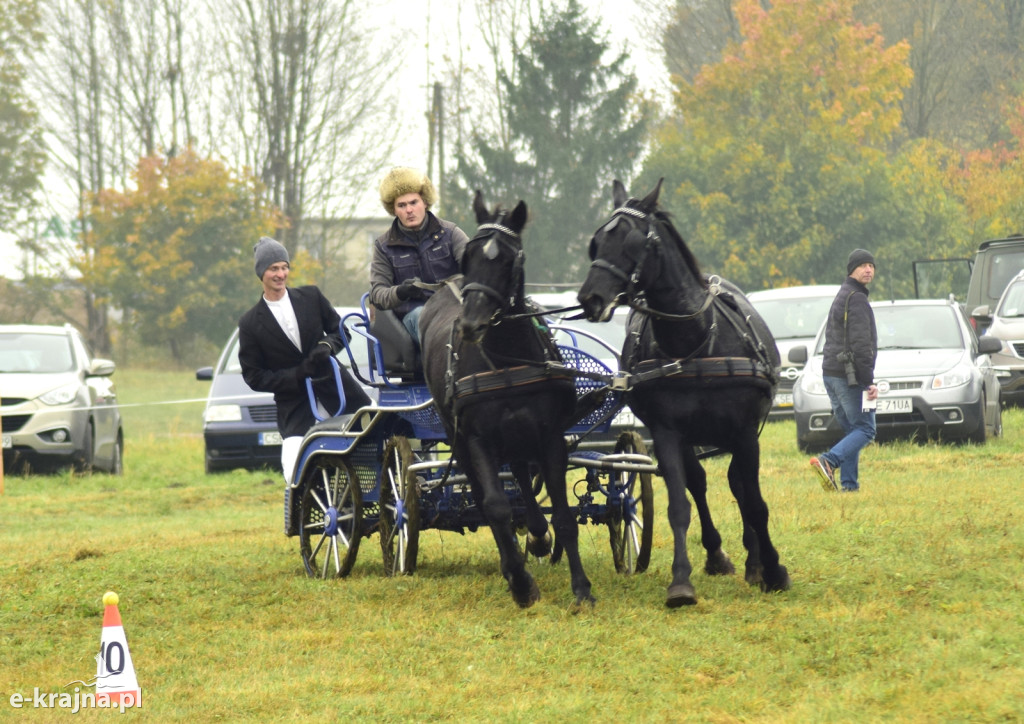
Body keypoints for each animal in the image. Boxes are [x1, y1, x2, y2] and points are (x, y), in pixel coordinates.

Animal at [415, 191, 593, 606]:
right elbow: (495, 507)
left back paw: (538, 537)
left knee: (524, 482)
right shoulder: (477, 438)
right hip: (459, 439)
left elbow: (563, 515)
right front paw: (520, 582)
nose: (470, 325)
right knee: (486, 496)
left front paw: (581, 588)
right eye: (468, 259)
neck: (508, 358)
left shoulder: (549, 436)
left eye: (509, 260)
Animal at [577, 180, 790, 606]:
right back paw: (717, 555)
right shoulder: (668, 433)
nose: (590, 298)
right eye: (596, 242)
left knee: (739, 487)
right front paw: (680, 583)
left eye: (632, 241)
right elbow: (680, 503)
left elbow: (755, 503)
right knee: (700, 484)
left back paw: (754, 561)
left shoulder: (746, 431)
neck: (695, 341)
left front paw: (773, 570)